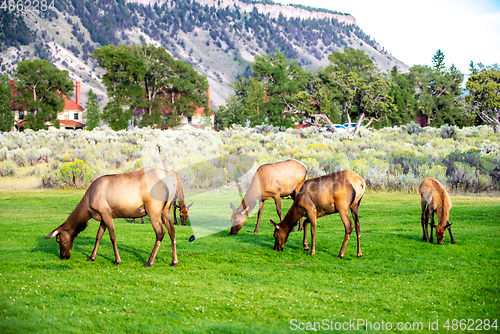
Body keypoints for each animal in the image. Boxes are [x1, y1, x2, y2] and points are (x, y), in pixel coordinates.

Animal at [45, 168, 190, 268]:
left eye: (58, 239)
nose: (63, 256)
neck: (88, 206)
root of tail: (172, 181)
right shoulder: (102, 216)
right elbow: (98, 236)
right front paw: (91, 257)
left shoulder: (106, 212)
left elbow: (112, 236)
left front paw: (117, 260)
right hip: (165, 210)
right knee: (171, 230)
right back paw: (174, 261)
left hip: (153, 209)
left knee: (160, 232)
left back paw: (149, 262)